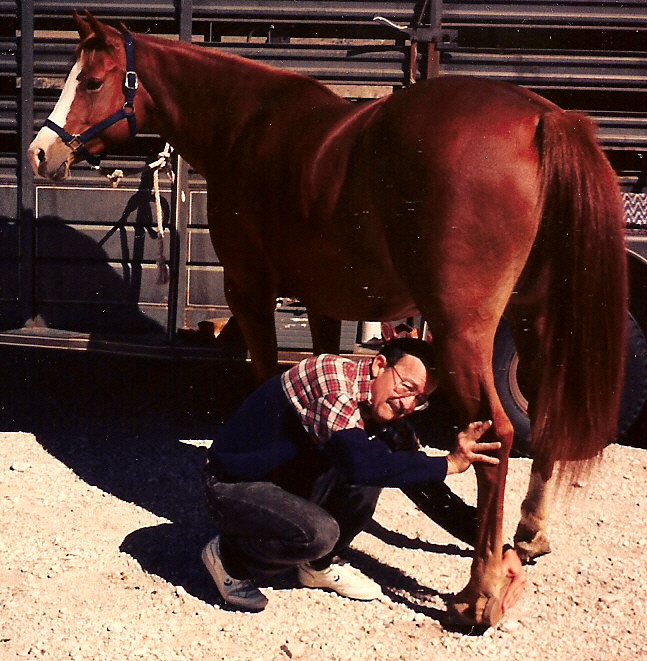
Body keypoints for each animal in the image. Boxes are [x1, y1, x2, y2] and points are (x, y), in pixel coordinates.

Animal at [29, 12, 628, 628]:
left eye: (91, 81)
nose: (39, 152)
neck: (248, 125)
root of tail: (541, 118)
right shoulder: (322, 301)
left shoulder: (249, 290)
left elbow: (264, 376)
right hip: (537, 320)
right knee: (547, 414)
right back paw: (527, 536)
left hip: (465, 332)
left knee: (499, 437)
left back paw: (479, 592)